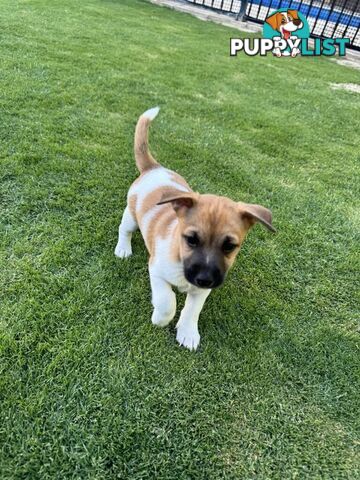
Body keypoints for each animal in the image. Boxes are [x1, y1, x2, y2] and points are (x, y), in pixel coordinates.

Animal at [115, 108, 276, 348]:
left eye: (230, 246)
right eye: (191, 239)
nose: (205, 278)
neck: (180, 257)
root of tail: (155, 168)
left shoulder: (202, 291)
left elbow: (192, 309)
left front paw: (188, 332)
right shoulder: (156, 270)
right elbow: (167, 301)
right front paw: (160, 318)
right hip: (131, 215)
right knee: (124, 229)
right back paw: (123, 249)